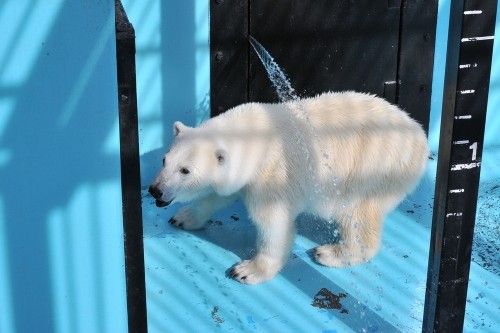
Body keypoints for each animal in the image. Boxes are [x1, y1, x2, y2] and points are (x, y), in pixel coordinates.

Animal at [147, 91, 426, 282]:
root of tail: (420, 138)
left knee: (356, 214)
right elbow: (217, 196)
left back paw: (330, 253)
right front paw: (183, 218)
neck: (254, 134)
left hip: (372, 169)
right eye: (164, 160)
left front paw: (248, 270)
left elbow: (274, 223)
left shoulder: (273, 175)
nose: (155, 190)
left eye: (185, 170)